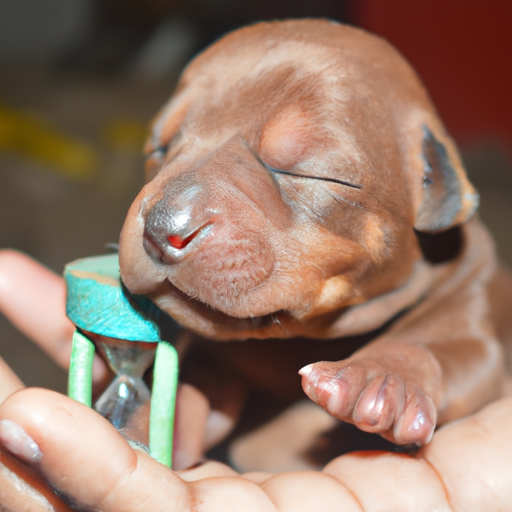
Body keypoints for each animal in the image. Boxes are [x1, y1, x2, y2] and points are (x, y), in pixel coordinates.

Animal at [120, 20, 508, 452]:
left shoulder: (473, 307)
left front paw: (382, 380)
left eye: (306, 172)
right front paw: (144, 422)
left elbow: (434, 341)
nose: (162, 227)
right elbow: (189, 386)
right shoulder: (212, 358)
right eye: (159, 148)